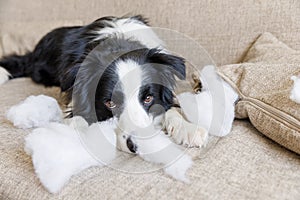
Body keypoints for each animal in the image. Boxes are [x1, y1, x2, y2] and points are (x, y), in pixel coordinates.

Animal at [0, 15, 206, 153]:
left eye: (148, 98)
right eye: (109, 103)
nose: (136, 146)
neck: (119, 43)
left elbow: (170, 107)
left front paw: (188, 128)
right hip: (40, 69)